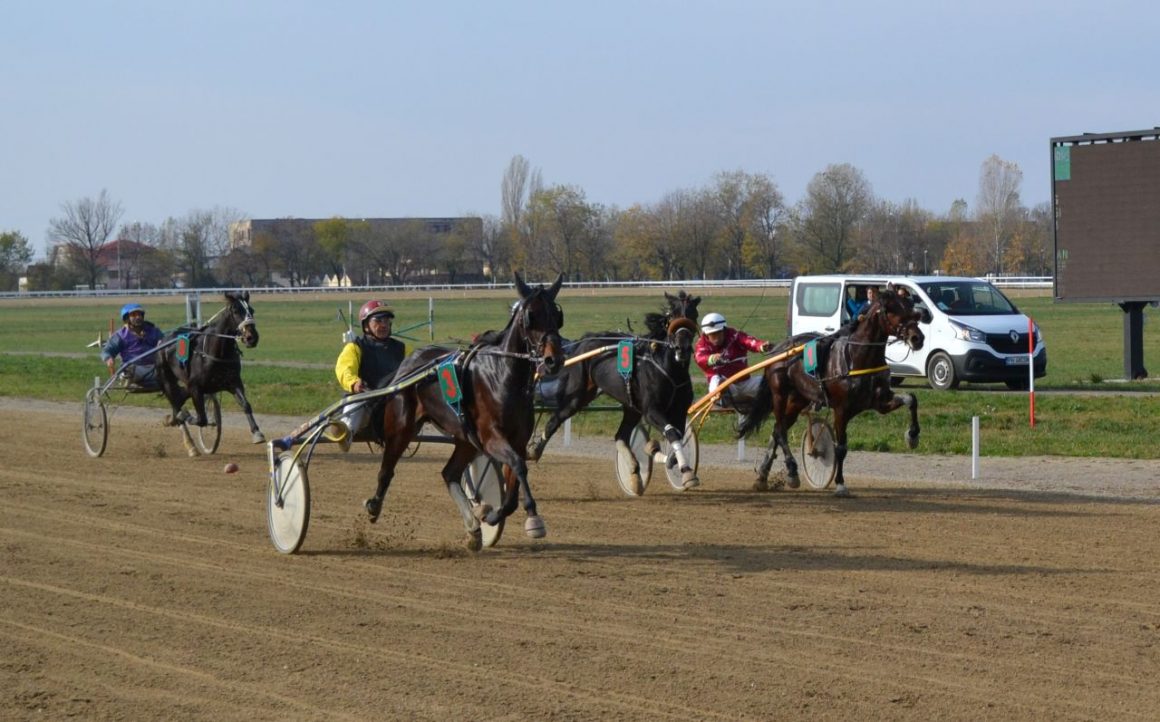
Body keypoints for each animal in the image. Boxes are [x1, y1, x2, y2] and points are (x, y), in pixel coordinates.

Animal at [153, 290, 262, 455]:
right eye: (236, 311)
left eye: (252, 310)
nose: (252, 337)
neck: (216, 353)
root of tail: (162, 341)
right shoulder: (195, 387)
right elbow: (201, 419)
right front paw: (186, 415)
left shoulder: (234, 382)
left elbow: (245, 404)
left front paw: (257, 433)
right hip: (166, 379)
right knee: (176, 403)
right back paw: (189, 442)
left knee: (179, 398)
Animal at [359, 273, 563, 552]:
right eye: (531, 316)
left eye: (557, 315)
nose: (555, 360)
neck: (502, 376)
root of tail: (408, 365)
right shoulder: (492, 438)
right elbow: (520, 467)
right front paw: (533, 518)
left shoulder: (517, 441)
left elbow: (512, 487)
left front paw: (488, 515)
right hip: (401, 429)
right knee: (386, 470)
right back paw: (374, 506)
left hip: (466, 439)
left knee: (449, 473)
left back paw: (473, 528)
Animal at [526, 291, 696, 494]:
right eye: (673, 315)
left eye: (693, 314)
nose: (682, 348)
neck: (669, 368)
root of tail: (583, 343)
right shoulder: (652, 410)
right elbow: (672, 433)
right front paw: (686, 472)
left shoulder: (679, 410)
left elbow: (677, 436)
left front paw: (659, 454)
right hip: (578, 396)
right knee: (555, 420)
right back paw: (534, 451)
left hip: (631, 406)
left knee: (621, 435)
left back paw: (634, 473)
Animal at [742, 286, 923, 496]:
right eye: (893, 310)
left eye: (911, 309)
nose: (917, 338)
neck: (857, 358)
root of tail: (778, 349)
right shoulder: (841, 409)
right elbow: (841, 448)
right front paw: (840, 484)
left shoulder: (880, 402)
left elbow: (911, 399)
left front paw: (912, 436)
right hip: (779, 393)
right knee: (780, 431)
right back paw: (792, 471)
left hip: (798, 399)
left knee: (778, 429)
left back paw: (763, 475)